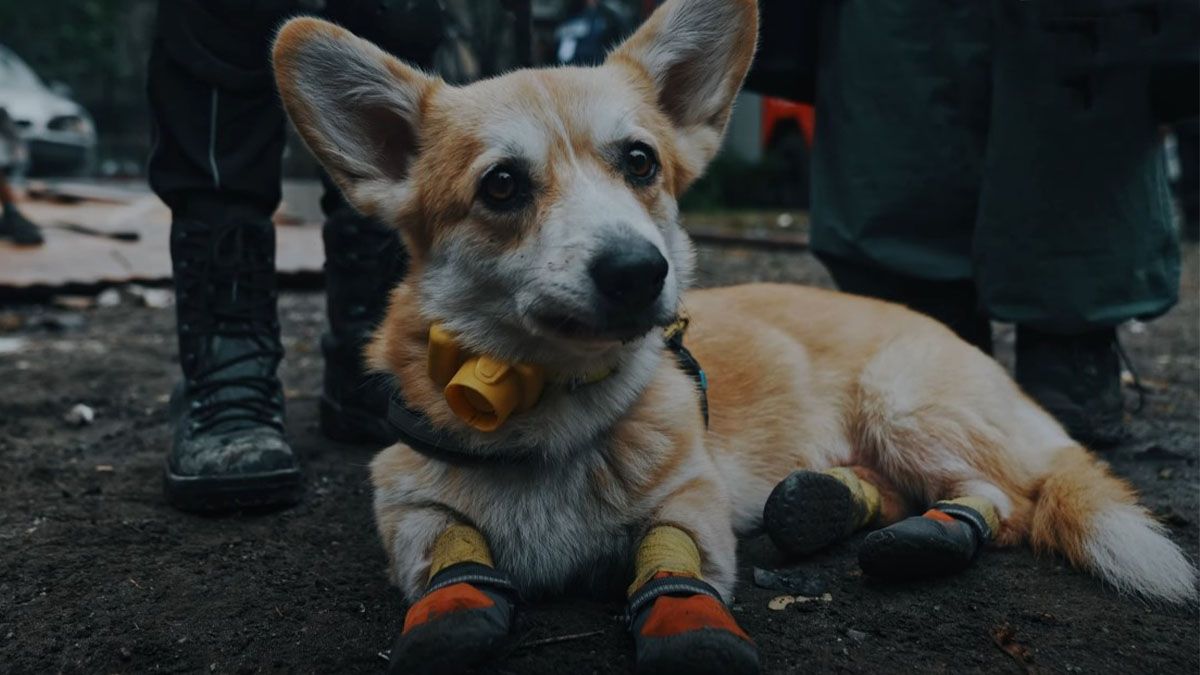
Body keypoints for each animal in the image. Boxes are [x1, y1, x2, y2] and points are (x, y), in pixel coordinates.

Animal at [270, 2, 1190, 667]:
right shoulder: (407, 504)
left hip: (904, 406)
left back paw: (931, 531)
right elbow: (449, 548)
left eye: (640, 162)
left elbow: (673, 562)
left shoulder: (692, 503)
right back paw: (831, 503)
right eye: (501, 185)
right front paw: (454, 606)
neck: (551, 414)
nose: (638, 271)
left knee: (1009, 499)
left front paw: (691, 626)